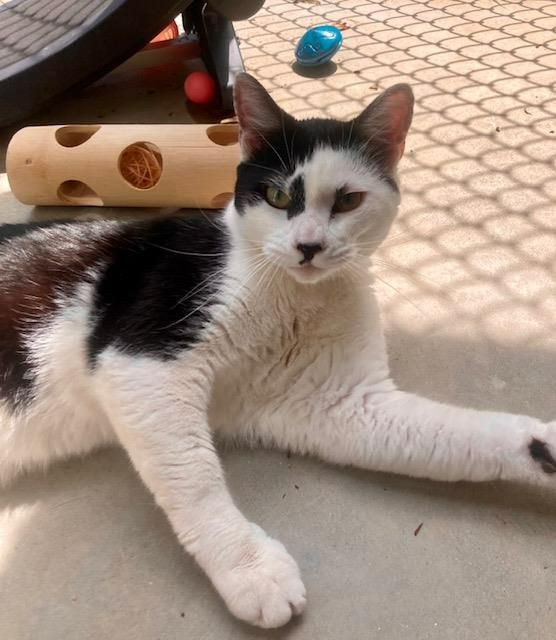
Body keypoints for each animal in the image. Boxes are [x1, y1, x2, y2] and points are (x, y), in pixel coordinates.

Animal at [1, 72, 556, 628]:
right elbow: (194, 478)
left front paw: (545, 445)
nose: (308, 246)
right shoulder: (140, 358)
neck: (294, 298)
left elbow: (461, 435)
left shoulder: (340, 404)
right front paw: (250, 569)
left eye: (348, 201)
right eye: (274, 195)